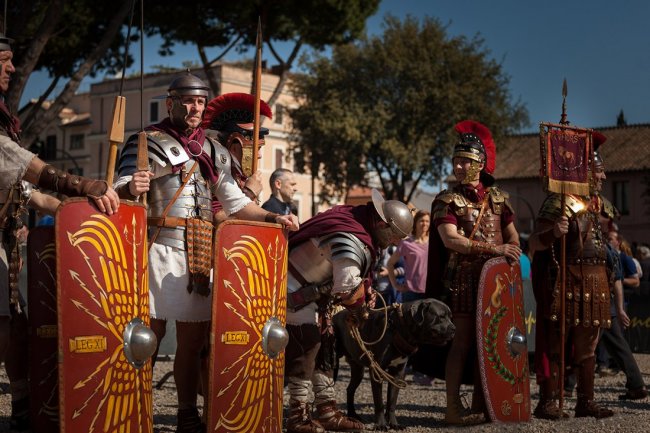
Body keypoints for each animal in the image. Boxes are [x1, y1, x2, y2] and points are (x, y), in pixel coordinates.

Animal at [332, 298, 454, 430]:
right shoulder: (377, 371)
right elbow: (379, 402)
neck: (399, 328)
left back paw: (352, 414)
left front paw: (394, 424)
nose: (454, 328)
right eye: (441, 316)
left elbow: (392, 402)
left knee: (350, 390)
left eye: (450, 317)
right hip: (333, 365)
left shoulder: (397, 373)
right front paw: (381, 424)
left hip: (358, 370)